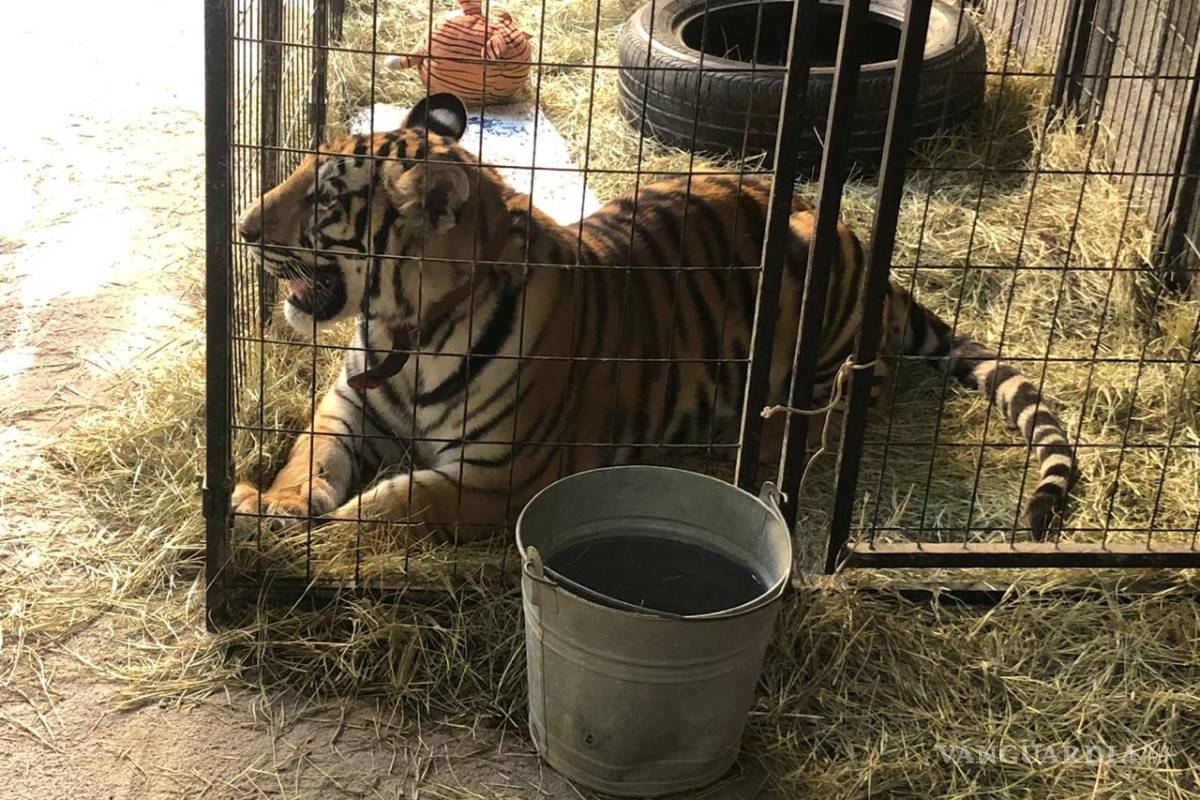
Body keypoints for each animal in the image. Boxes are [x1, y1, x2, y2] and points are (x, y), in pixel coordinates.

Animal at [230, 92, 1075, 542]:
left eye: (326, 199)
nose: (241, 228)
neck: (405, 331)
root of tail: (869, 257)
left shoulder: (504, 477)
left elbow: (400, 502)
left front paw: (325, 530)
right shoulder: (349, 407)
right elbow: (308, 455)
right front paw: (271, 501)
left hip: (809, 308)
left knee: (839, 405)